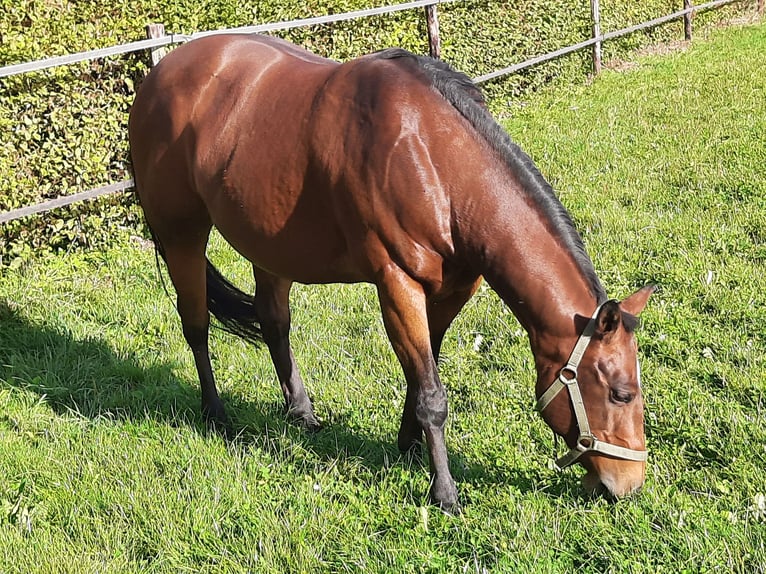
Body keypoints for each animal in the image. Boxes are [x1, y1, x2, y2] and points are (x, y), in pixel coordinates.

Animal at [128, 33, 654, 513]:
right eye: (621, 393)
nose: (627, 484)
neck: (433, 159)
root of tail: (158, 74)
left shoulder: (453, 289)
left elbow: (423, 375)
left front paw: (409, 446)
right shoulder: (397, 284)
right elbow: (432, 394)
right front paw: (444, 493)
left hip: (269, 244)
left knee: (274, 322)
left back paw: (301, 412)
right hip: (182, 234)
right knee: (196, 324)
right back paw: (215, 414)